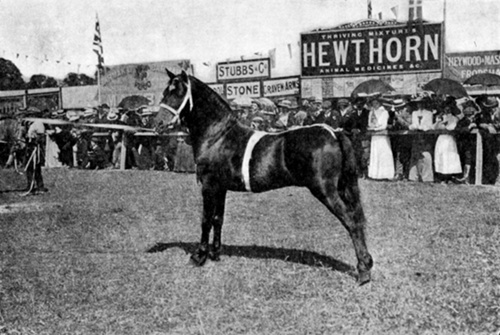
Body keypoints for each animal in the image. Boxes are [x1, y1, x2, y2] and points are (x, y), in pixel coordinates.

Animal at [158, 69, 374, 284]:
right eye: (164, 92)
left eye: (177, 92)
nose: (158, 123)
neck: (218, 136)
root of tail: (333, 132)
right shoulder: (220, 188)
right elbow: (218, 219)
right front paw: (215, 254)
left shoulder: (209, 186)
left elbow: (206, 220)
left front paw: (199, 256)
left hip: (325, 190)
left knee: (351, 221)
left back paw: (363, 270)